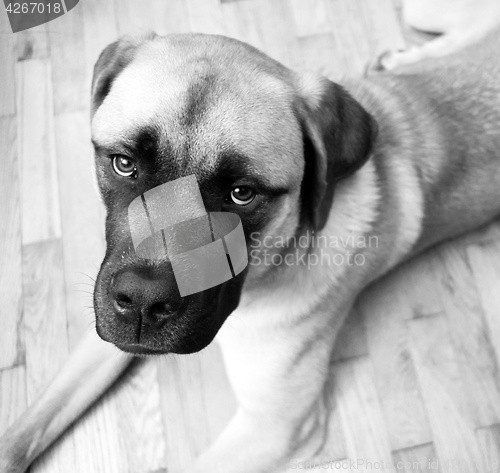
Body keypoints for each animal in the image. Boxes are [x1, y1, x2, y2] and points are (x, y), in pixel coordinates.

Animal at [0, 23, 500, 473]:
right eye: (123, 164)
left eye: (242, 194)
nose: (143, 302)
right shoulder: (105, 313)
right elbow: (25, 428)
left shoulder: (273, 426)